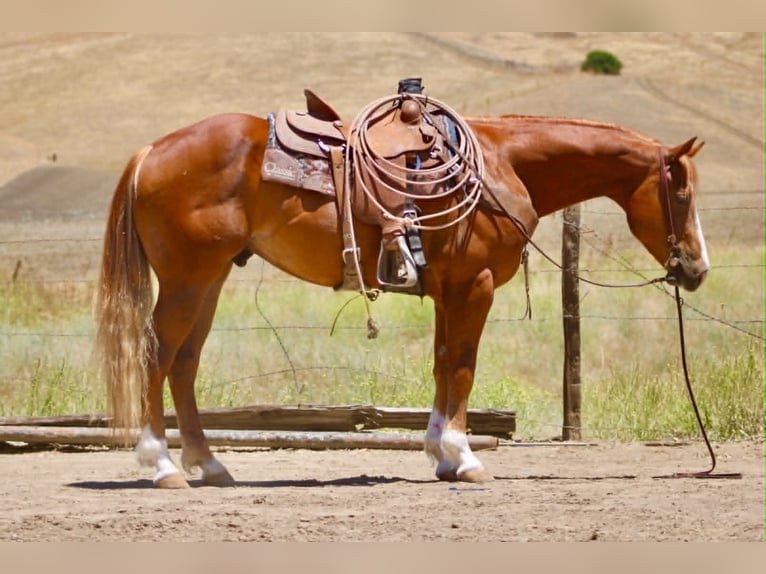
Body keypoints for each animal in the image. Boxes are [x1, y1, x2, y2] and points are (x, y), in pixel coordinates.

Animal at [94, 104, 708, 488]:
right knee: (157, 357)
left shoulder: (447, 290)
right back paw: (162, 466)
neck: (499, 165)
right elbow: (463, 367)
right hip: (188, 280)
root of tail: (151, 151)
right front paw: (465, 457)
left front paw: (440, 453)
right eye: (680, 193)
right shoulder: (474, 286)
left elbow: (442, 365)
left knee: (184, 364)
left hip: (211, 279)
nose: (696, 268)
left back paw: (211, 465)